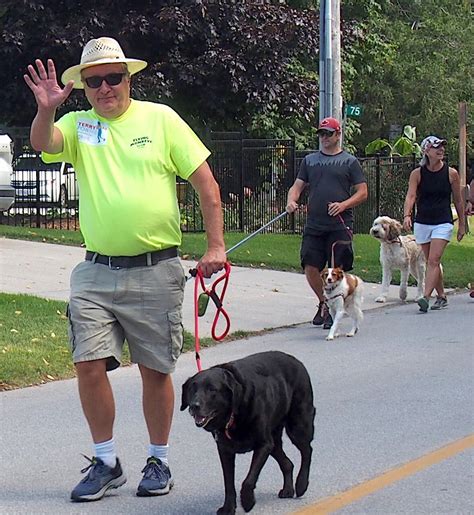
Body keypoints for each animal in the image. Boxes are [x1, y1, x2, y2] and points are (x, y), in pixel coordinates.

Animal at [179, 350, 314, 515]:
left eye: (212, 389)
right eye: (192, 388)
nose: (194, 406)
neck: (233, 415)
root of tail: (297, 361)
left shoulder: (263, 444)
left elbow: (249, 479)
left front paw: (248, 501)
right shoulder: (225, 450)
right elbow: (228, 483)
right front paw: (228, 508)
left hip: (298, 425)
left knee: (307, 450)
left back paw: (301, 484)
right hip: (274, 441)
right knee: (288, 463)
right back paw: (288, 489)